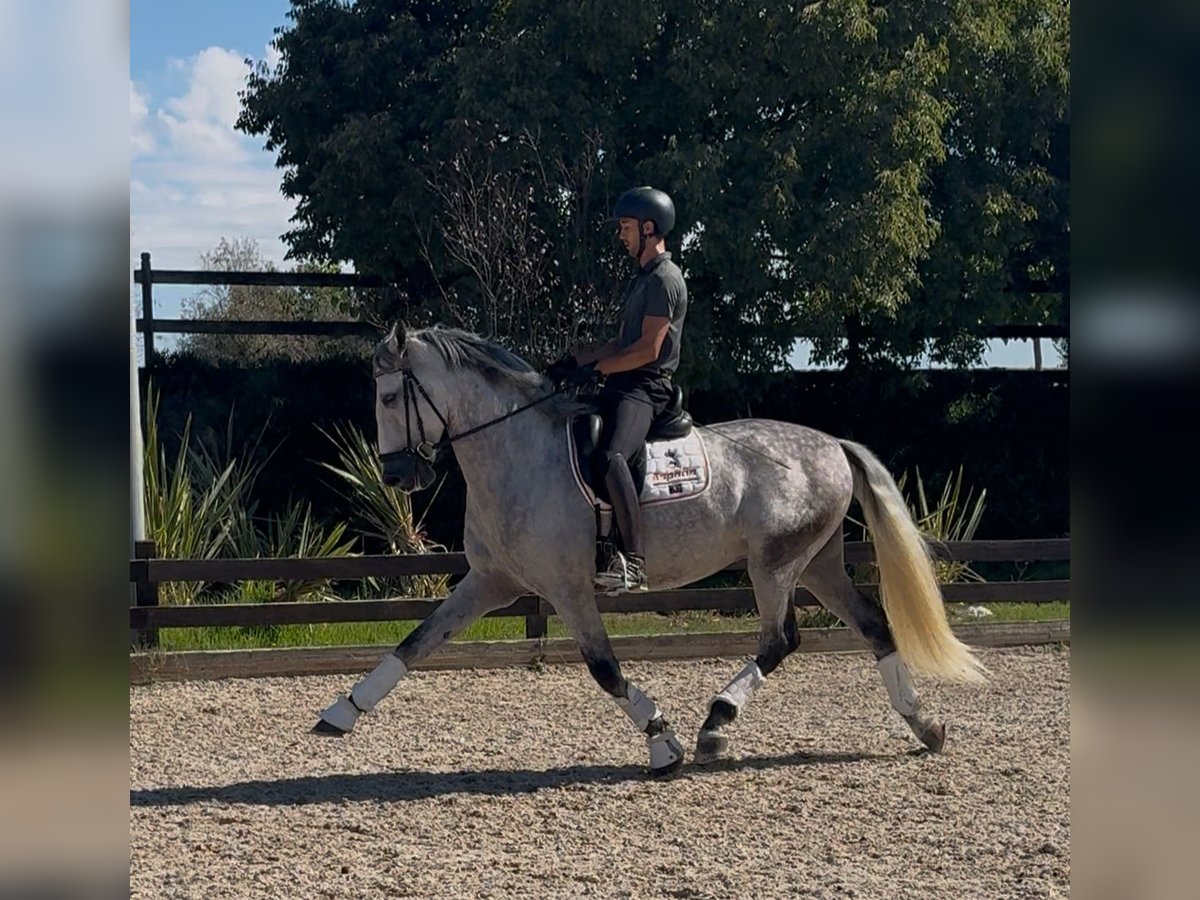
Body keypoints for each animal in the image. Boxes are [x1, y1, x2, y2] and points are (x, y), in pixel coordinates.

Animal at [314, 324, 987, 775]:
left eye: (391, 398)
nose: (398, 476)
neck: (516, 454)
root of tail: (832, 444)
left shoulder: (567, 589)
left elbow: (605, 669)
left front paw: (663, 741)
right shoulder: (490, 582)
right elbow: (415, 643)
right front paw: (342, 712)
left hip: (773, 565)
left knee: (780, 640)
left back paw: (716, 724)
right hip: (818, 564)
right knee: (874, 626)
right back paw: (925, 724)